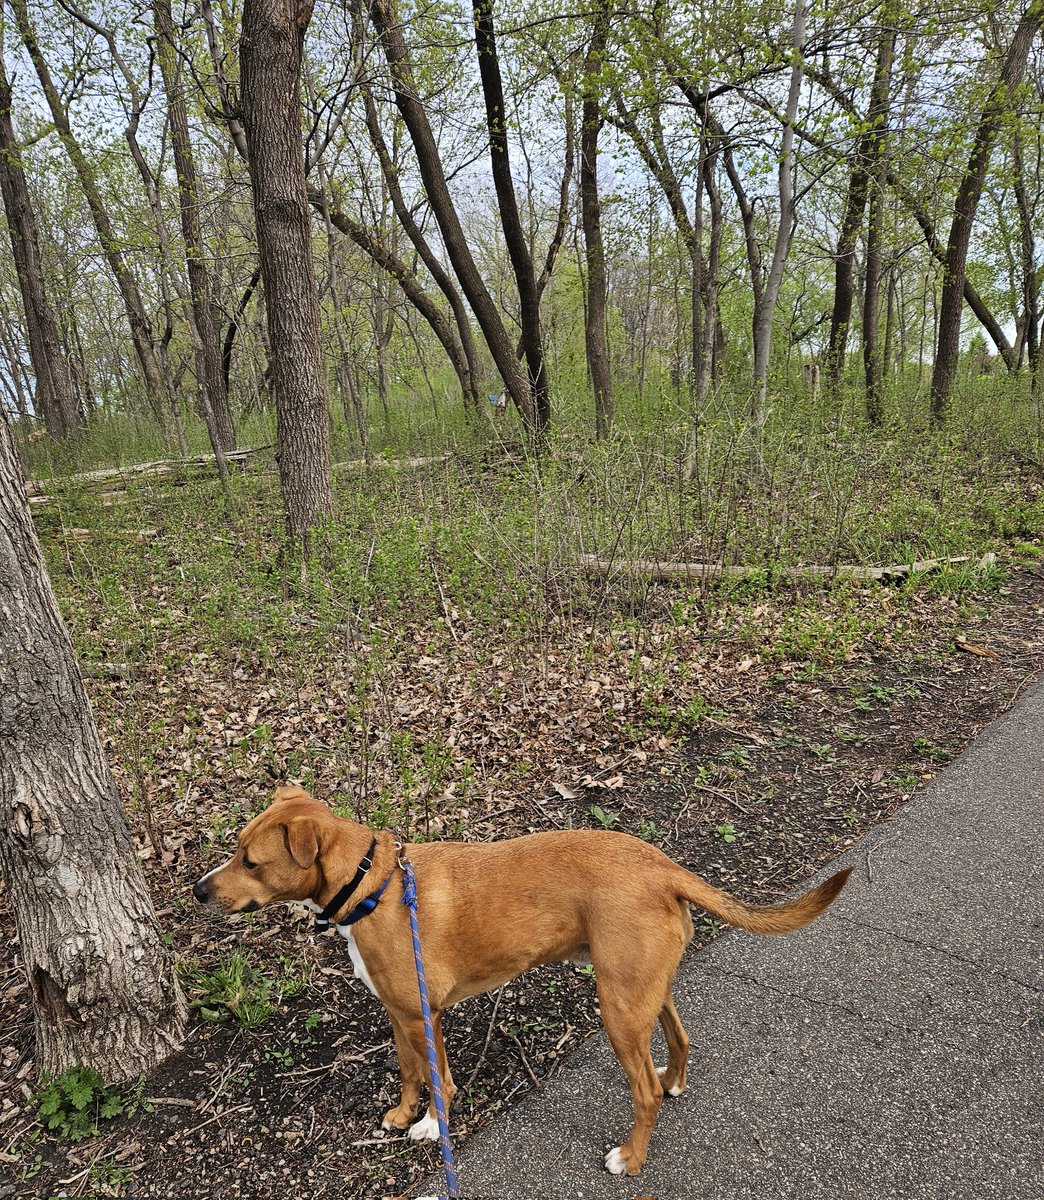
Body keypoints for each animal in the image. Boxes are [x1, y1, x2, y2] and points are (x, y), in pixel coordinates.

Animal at [194, 782, 849, 1176]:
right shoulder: (398, 1014)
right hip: (645, 991)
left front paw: (429, 1126)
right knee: (680, 1042)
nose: (199, 890)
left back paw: (631, 1158)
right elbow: (408, 1073)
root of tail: (664, 866)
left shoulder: (422, 1015)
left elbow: (439, 1082)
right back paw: (674, 1081)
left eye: (251, 861)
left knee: (641, 1092)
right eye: (236, 849)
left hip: (618, 1008)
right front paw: (403, 1115)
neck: (371, 884)